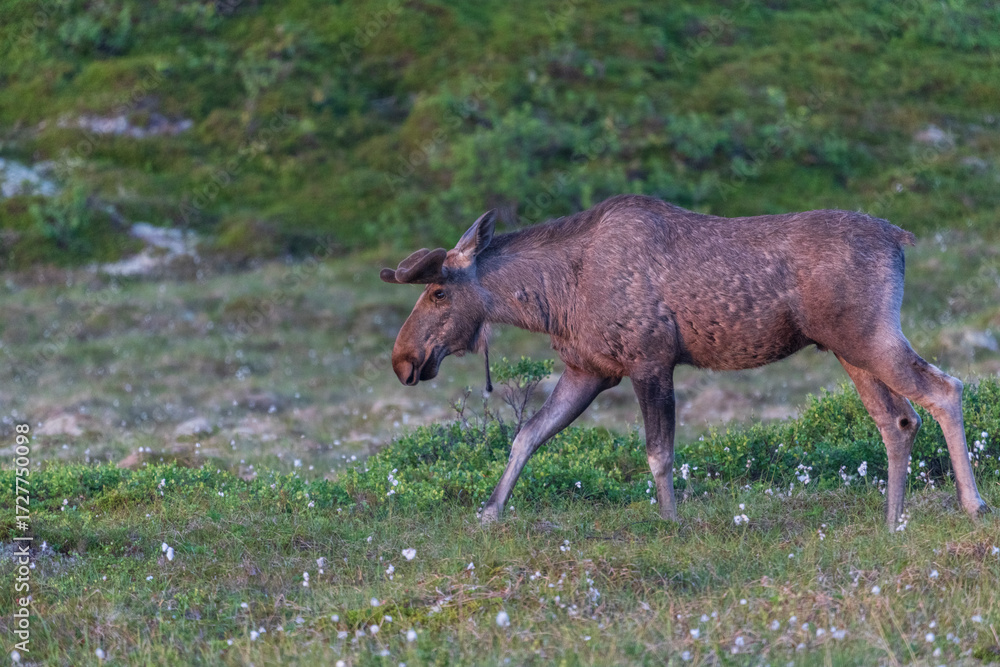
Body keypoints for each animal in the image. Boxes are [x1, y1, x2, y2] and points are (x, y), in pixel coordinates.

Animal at [380, 194, 988, 529]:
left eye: (438, 293)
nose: (403, 360)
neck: (553, 299)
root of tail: (900, 237)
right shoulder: (590, 370)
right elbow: (526, 435)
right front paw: (490, 513)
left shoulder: (650, 360)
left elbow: (659, 454)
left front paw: (672, 522)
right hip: (849, 349)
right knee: (898, 420)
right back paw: (892, 522)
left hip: (869, 336)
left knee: (946, 389)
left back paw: (973, 505)